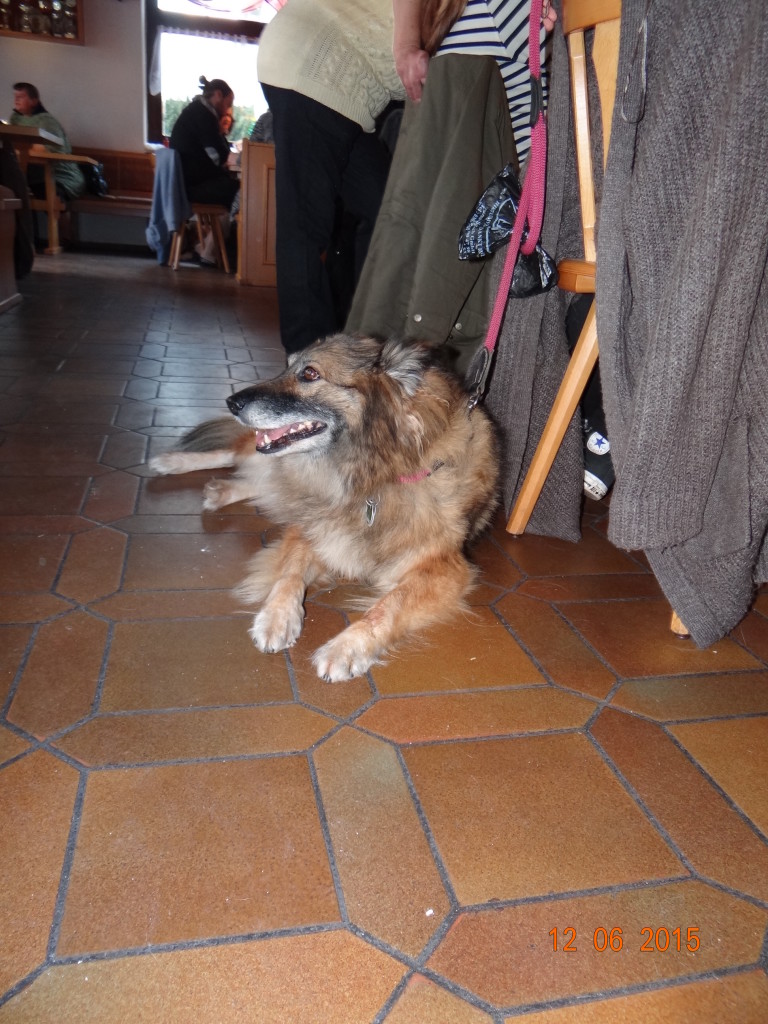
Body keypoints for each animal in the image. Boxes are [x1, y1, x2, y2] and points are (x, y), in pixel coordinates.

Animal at [149, 333, 499, 682]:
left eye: (310, 373)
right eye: (287, 367)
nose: (231, 402)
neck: (371, 479)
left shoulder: (444, 569)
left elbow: (388, 606)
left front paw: (346, 648)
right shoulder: (310, 525)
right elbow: (289, 573)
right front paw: (276, 618)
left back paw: (220, 490)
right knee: (236, 456)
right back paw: (172, 462)